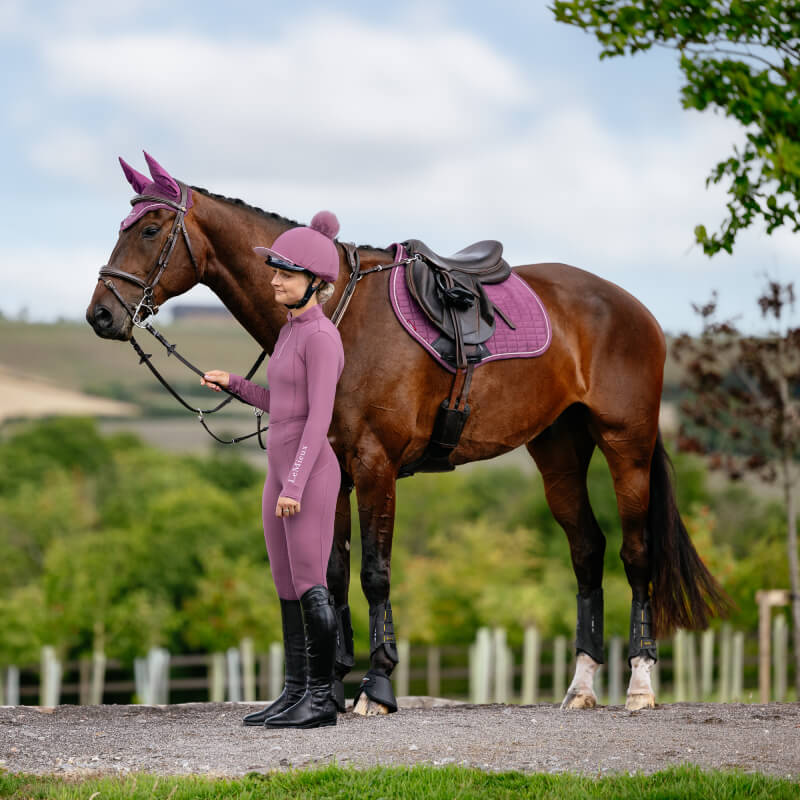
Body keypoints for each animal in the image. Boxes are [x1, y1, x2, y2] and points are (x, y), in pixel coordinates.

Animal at [86, 153, 727, 714]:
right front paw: (332, 689)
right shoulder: (334, 469)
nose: (100, 315)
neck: (338, 314)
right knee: (587, 551)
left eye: (149, 228)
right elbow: (333, 574)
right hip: (559, 451)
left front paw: (376, 687)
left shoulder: (376, 466)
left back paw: (640, 685)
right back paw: (581, 686)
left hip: (626, 447)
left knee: (635, 553)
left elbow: (374, 574)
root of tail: (635, 308)